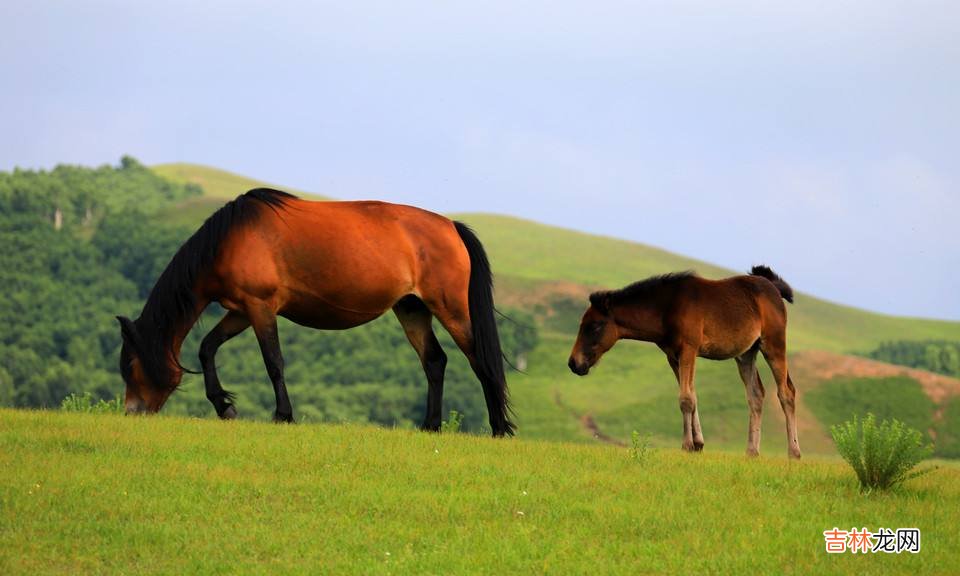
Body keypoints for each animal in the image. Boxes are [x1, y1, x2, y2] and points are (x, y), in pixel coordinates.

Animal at [115, 189, 512, 436]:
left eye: (131, 367)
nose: (130, 412)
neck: (231, 239)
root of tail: (452, 227)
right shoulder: (241, 311)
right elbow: (207, 348)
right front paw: (224, 406)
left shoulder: (261, 308)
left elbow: (273, 362)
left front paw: (283, 415)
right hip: (412, 309)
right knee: (434, 361)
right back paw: (431, 426)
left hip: (452, 309)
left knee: (479, 360)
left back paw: (499, 428)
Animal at [568, 266, 804, 460]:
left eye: (595, 326)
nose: (574, 363)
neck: (666, 309)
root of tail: (773, 288)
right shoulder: (673, 356)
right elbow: (692, 395)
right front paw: (698, 444)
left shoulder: (689, 349)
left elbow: (686, 399)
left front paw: (687, 445)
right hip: (746, 353)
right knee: (756, 394)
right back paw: (752, 451)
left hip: (773, 344)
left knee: (786, 392)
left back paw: (794, 453)